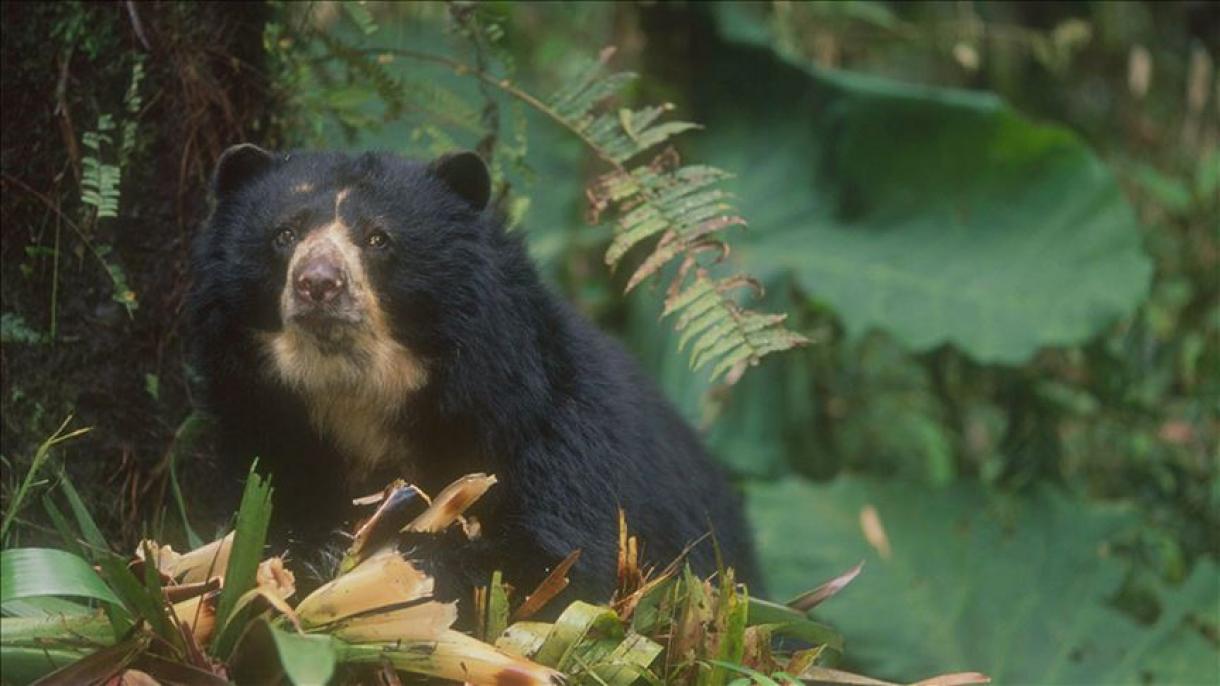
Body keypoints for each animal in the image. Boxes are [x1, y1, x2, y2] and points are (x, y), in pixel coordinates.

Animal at [187, 145, 761, 607]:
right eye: (283, 234)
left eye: (378, 238)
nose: (319, 284)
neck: (360, 393)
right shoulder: (263, 428)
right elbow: (250, 518)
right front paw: (309, 552)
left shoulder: (545, 429)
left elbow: (554, 563)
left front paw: (396, 563)